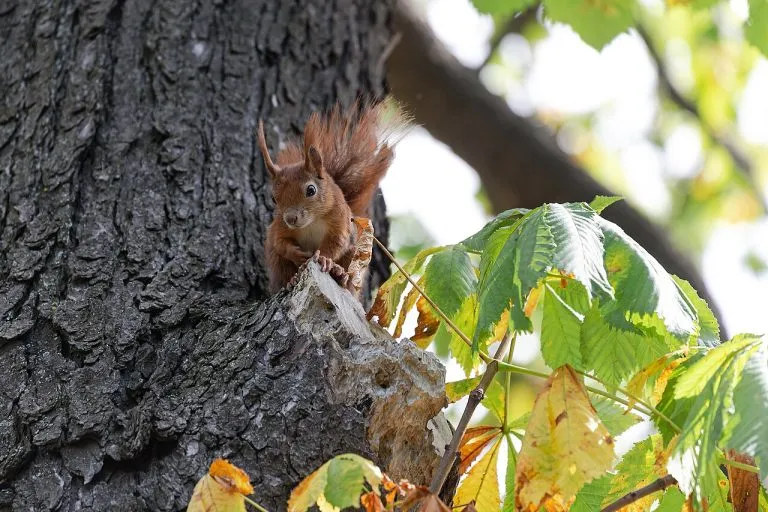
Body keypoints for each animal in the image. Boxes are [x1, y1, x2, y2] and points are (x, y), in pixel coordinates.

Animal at [257, 99, 410, 295]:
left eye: (311, 190)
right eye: (274, 199)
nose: (291, 218)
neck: (312, 222)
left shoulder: (340, 220)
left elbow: (336, 243)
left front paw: (324, 259)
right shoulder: (279, 227)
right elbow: (281, 243)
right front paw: (296, 254)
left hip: (353, 252)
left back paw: (340, 274)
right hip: (275, 260)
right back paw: (291, 281)